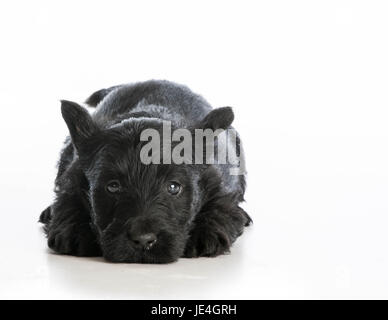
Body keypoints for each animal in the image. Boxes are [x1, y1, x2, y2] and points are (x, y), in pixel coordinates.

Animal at [39, 80, 252, 262]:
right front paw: (72, 231)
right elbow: (67, 200)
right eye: (113, 186)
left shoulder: (217, 182)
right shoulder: (74, 175)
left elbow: (221, 206)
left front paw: (207, 233)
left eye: (173, 187)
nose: (143, 240)